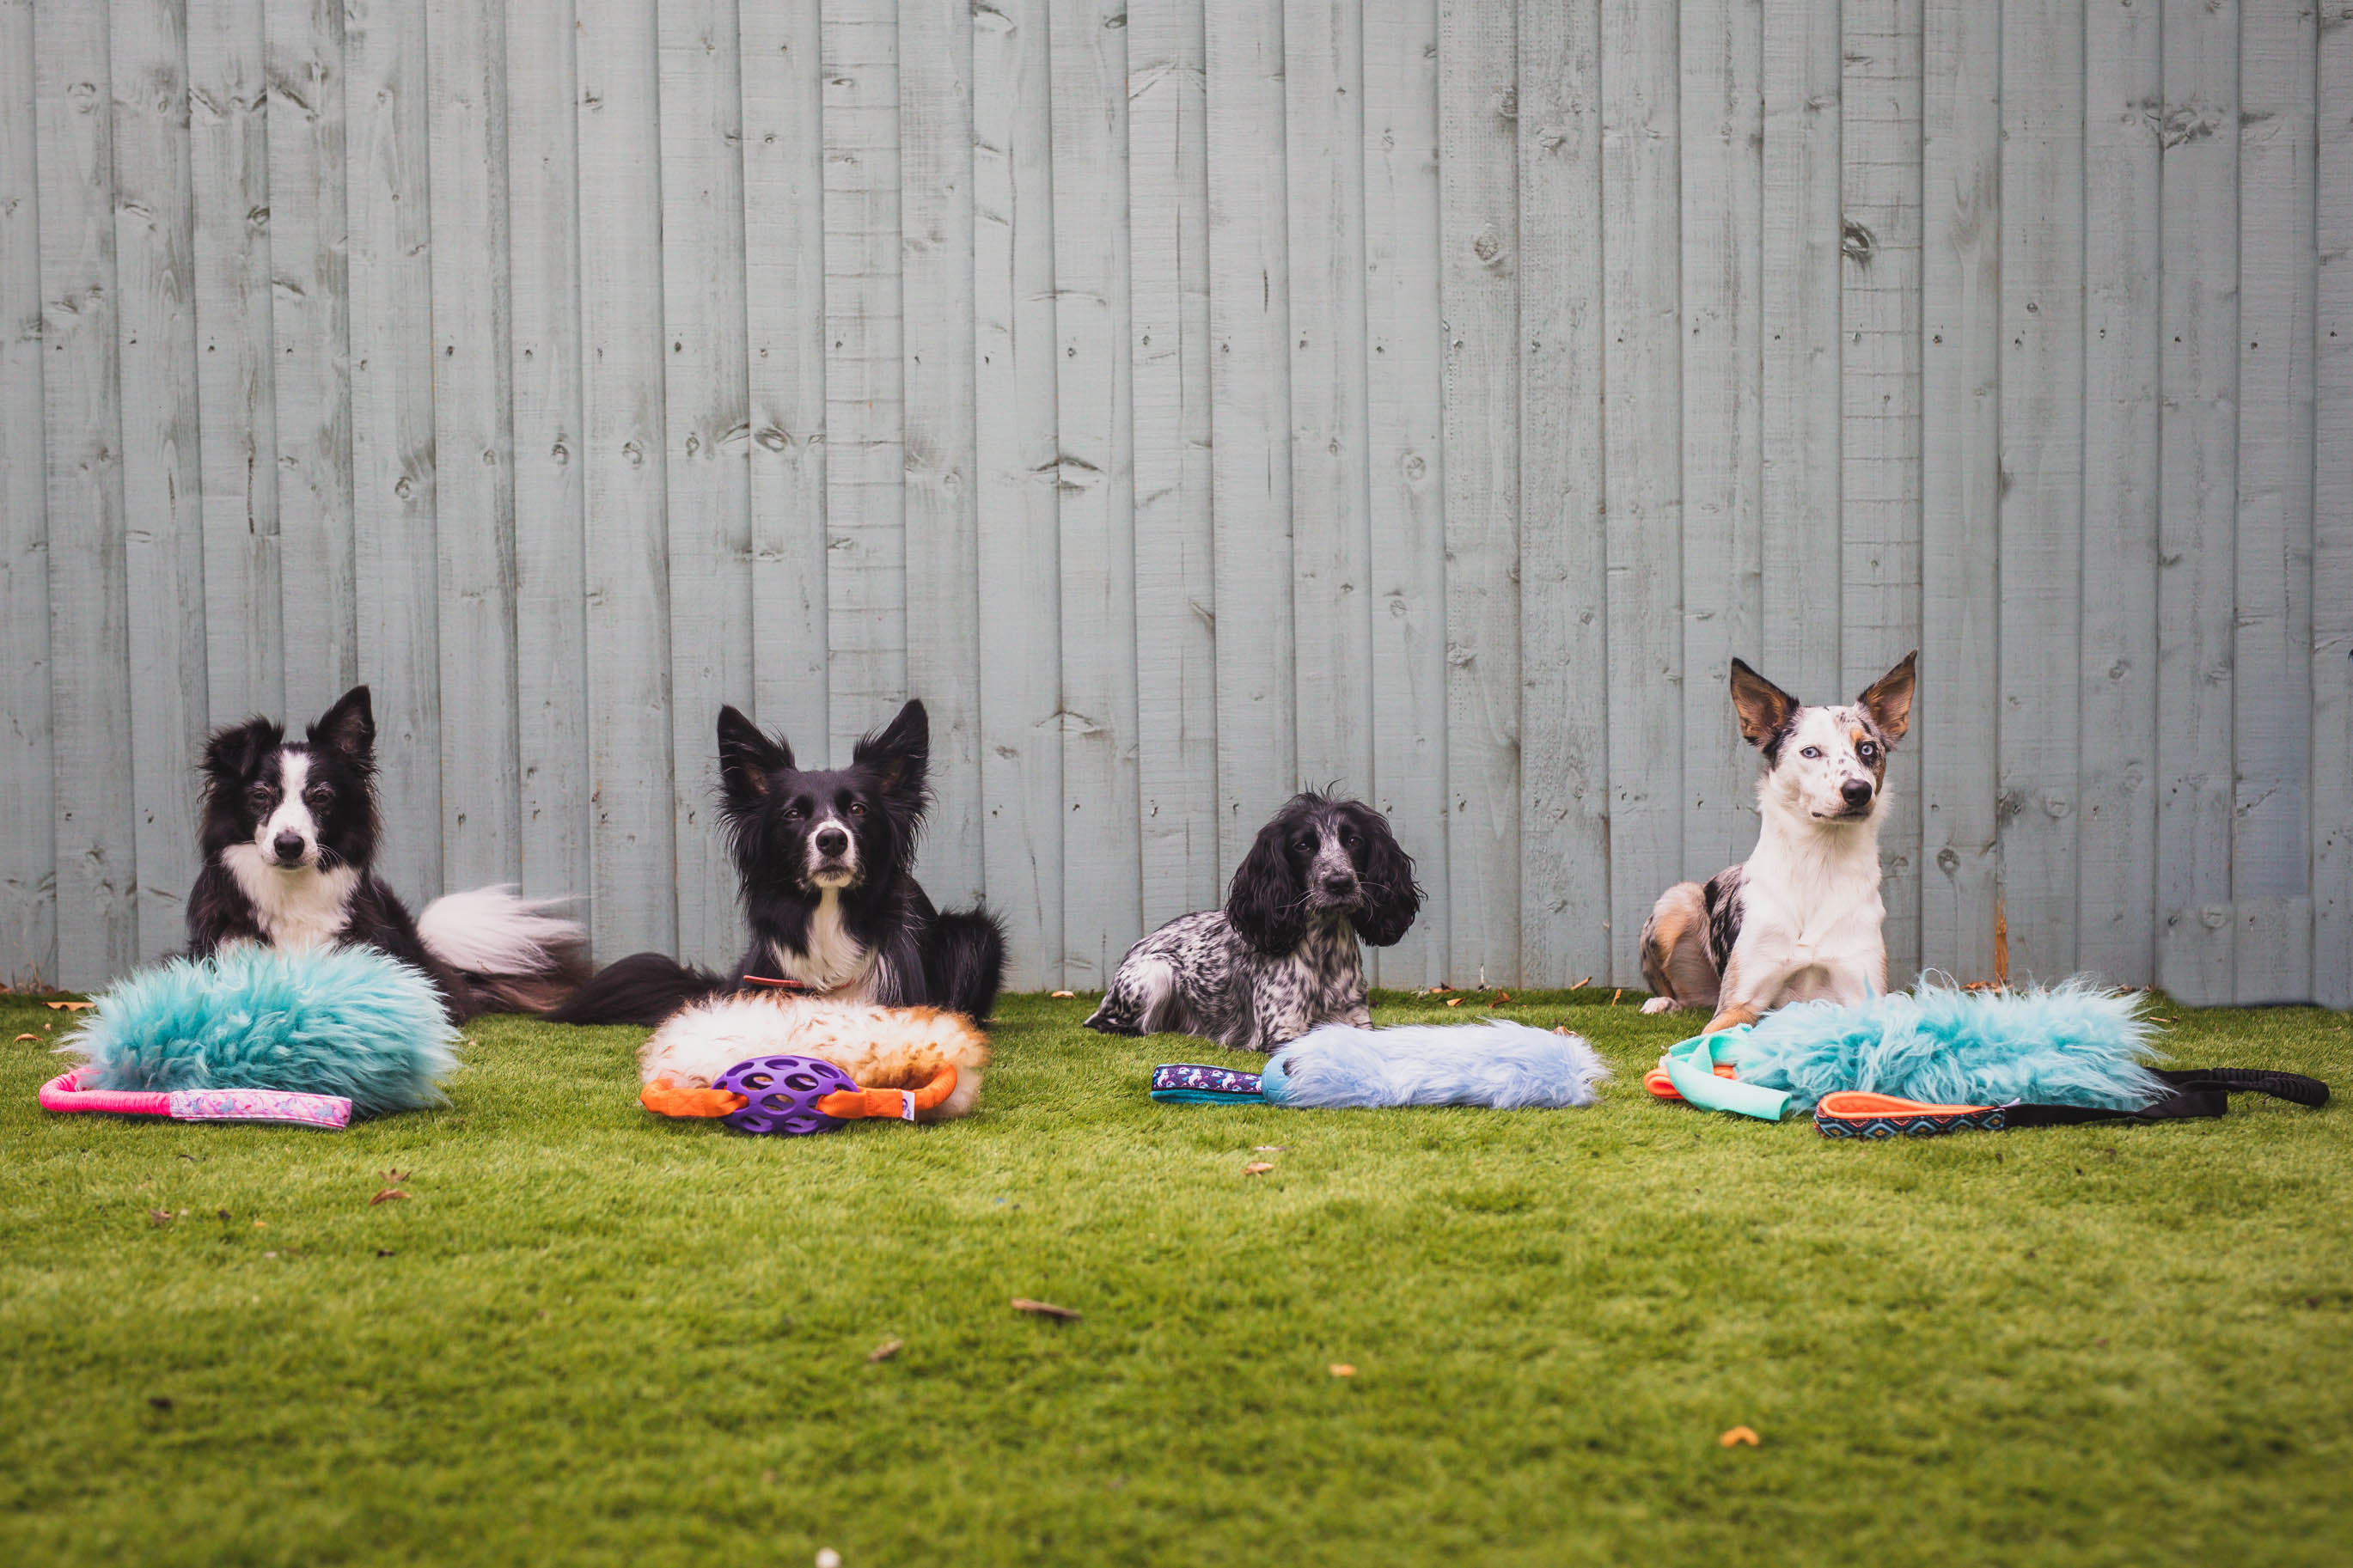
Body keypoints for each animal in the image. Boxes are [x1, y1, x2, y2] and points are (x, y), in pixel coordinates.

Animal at [1078, 799, 1411, 1052]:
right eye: (1303, 845)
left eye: (1354, 841)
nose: (1340, 883)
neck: (1324, 952)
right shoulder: (1281, 1030)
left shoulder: (1357, 1019)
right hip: (1154, 973)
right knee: (1107, 1023)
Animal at [1647, 653, 1920, 1034]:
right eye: (1810, 752)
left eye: (1867, 749)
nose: (1858, 791)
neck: (1820, 861)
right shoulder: (1737, 1003)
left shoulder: (1861, 992)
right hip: (1675, 902)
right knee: (1677, 992)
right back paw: (1661, 1002)